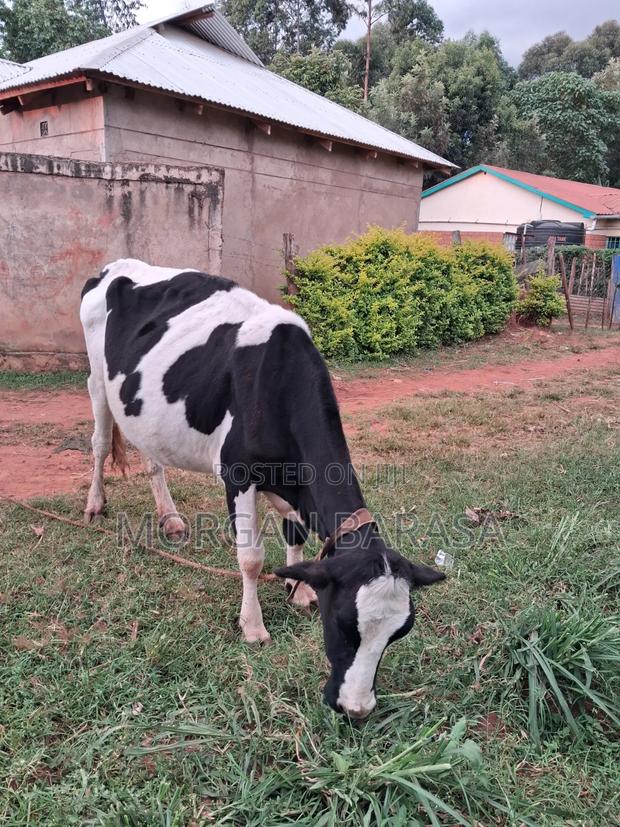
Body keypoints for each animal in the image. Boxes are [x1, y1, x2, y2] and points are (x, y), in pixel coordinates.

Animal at [80, 259, 445, 719]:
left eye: (398, 634)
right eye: (342, 624)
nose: (357, 709)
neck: (277, 379)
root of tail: (116, 266)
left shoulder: (292, 482)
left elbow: (297, 533)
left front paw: (300, 590)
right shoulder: (237, 474)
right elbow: (251, 559)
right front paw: (253, 627)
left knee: (151, 456)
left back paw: (171, 518)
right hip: (97, 379)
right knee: (97, 441)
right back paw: (95, 505)